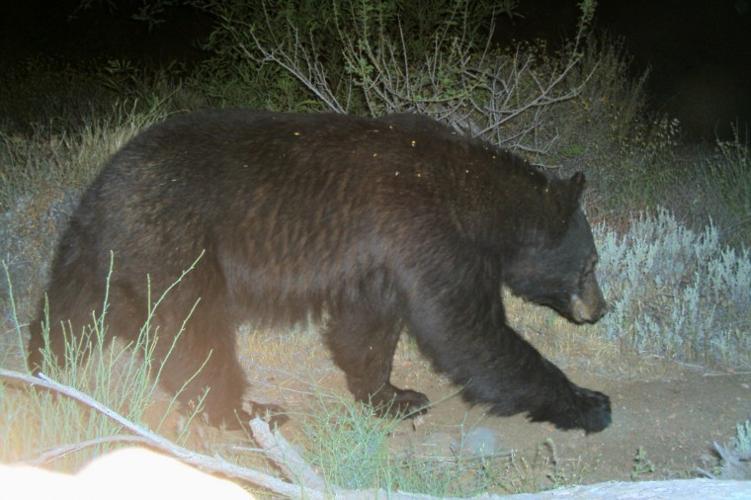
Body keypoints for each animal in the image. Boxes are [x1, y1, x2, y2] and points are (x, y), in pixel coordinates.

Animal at [29, 111, 612, 432]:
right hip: (174, 247)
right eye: (591, 263)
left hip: (96, 258)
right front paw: (589, 402)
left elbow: (367, 329)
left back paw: (47, 373)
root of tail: (102, 190)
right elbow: (466, 333)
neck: (475, 196)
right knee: (191, 337)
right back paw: (246, 411)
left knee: (67, 315)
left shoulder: (383, 259)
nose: (600, 308)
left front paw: (394, 397)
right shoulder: (429, 233)